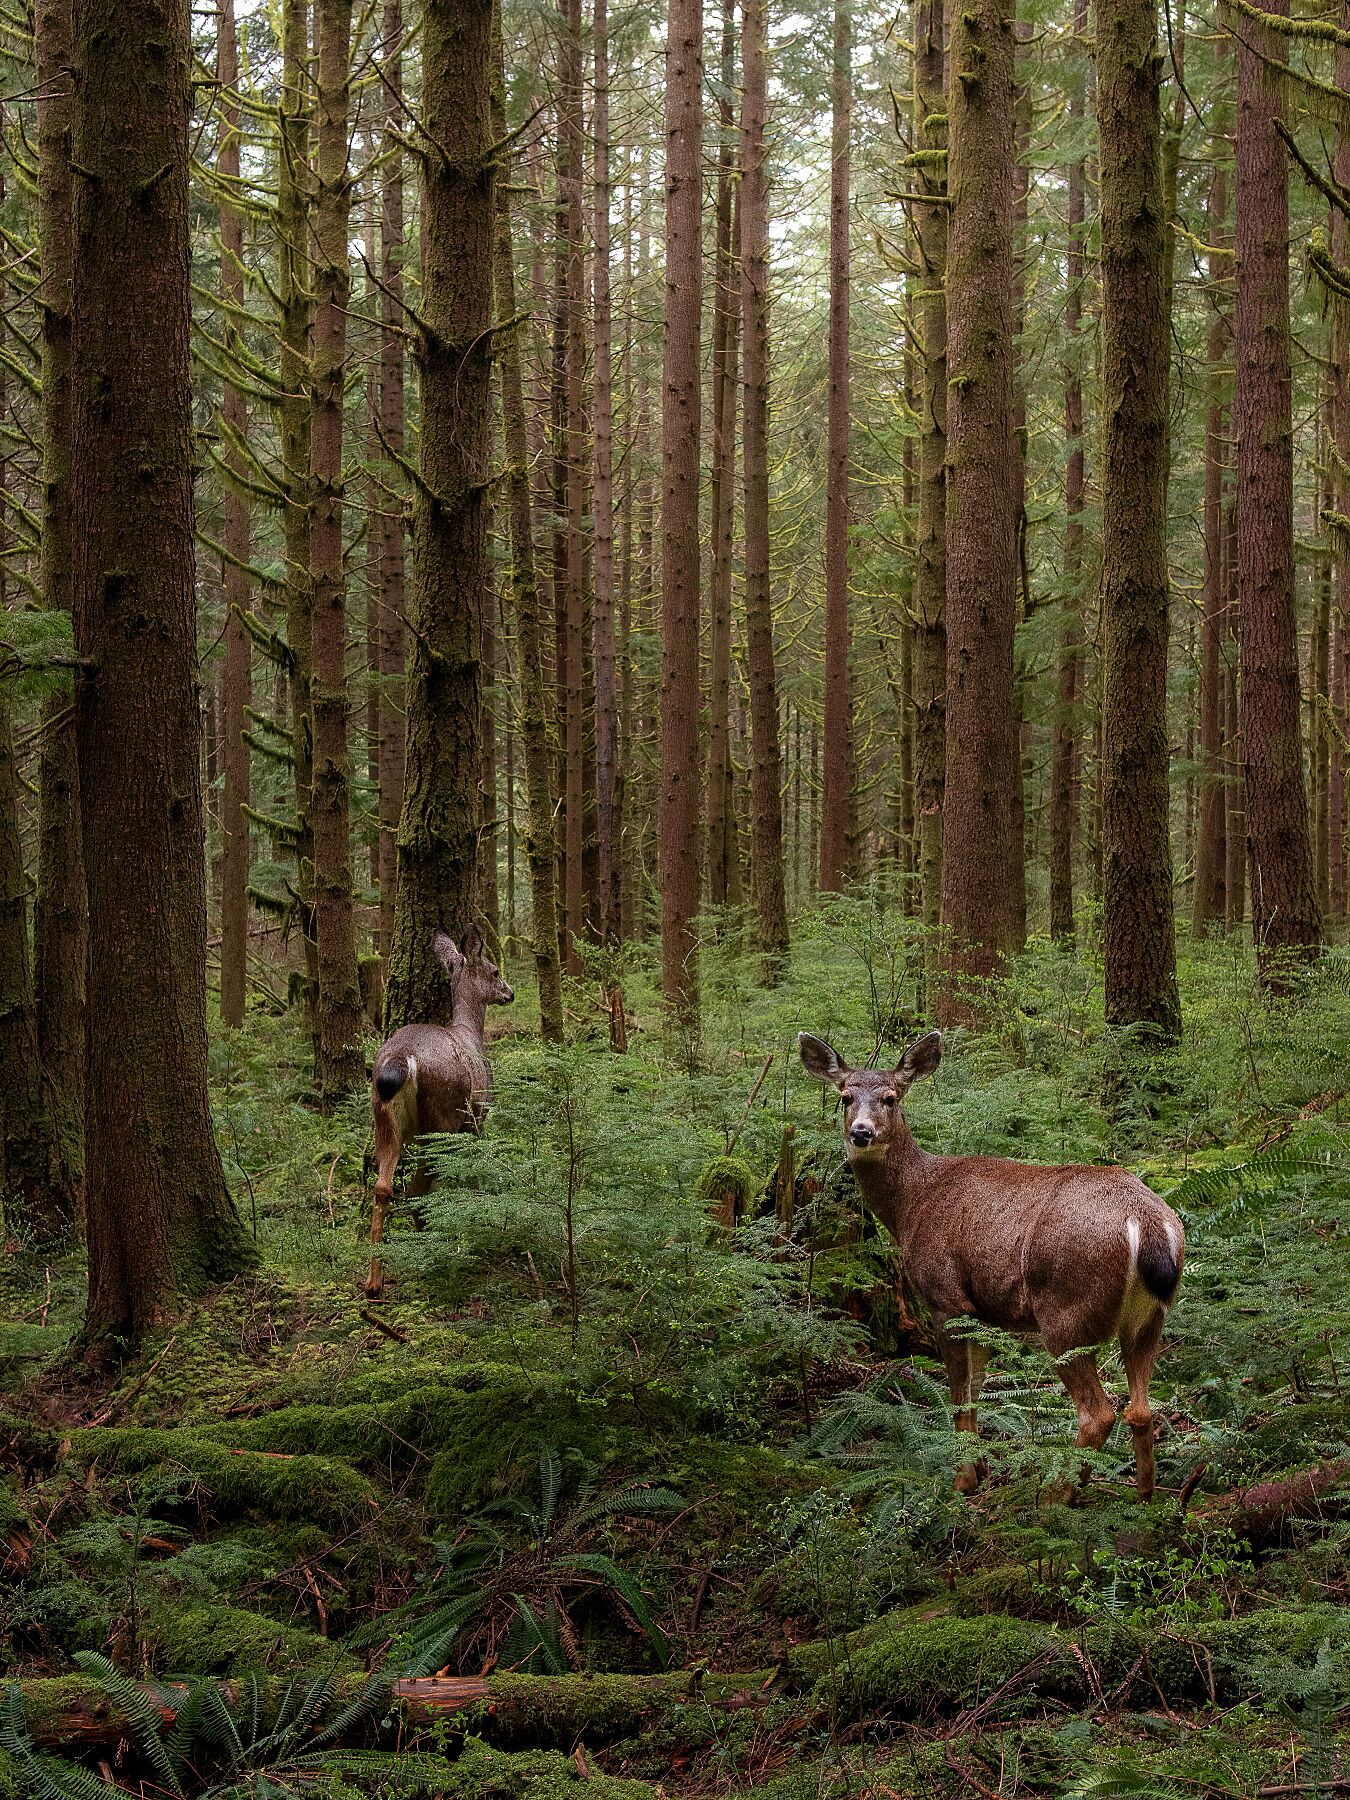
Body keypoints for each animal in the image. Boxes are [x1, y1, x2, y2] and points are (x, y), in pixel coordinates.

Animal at [365, 928, 511, 1296]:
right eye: (495, 971)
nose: (510, 992)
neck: (470, 1032)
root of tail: (401, 1060)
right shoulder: (477, 1117)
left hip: (383, 1119)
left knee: (384, 1185)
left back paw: (374, 1281)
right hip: (441, 1118)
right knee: (416, 1187)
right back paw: (435, 1248)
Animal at [799, 1036, 1188, 1497]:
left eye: (890, 1097)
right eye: (844, 1097)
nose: (862, 1131)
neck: (912, 1203)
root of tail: (1148, 1224)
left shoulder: (946, 1297)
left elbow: (958, 1394)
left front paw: (963, 1479)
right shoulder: (982, 1313)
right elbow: (976, 1387)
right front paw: (980, 1469)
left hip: (1065, 1308)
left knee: (1099, 1413)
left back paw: (1056, 1495)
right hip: (1150, 1316)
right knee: (1140, 1409)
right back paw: (1145, 1498)